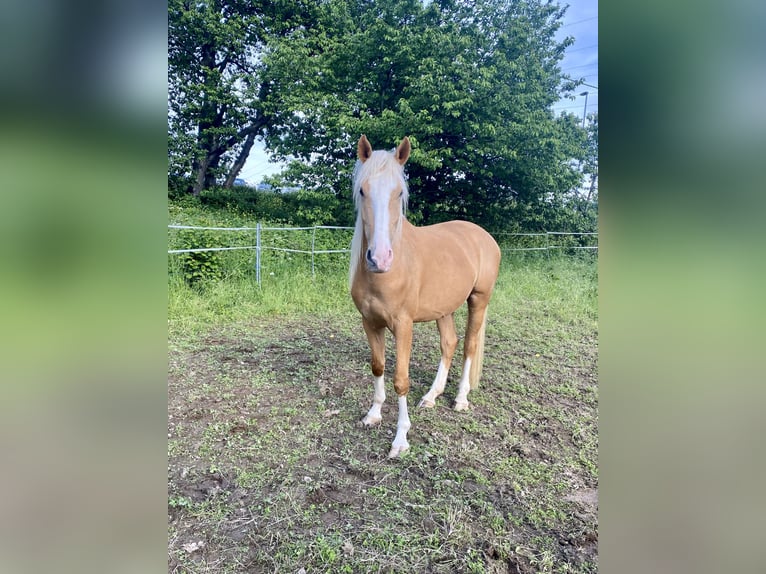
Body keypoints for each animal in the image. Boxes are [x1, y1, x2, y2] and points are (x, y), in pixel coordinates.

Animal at [350, 135, 504, 460]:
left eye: (399, 193)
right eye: (362, 190)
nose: (379, 259)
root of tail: (483, 236)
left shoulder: (403, 326)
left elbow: (401, 379)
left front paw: (400, 439)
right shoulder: (370, 323)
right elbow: (378, 366)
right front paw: (373, 415)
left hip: (479, 299)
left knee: (469, 346)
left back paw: (460, 399)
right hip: (444, 308)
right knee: (449, 343)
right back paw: (432, 395)